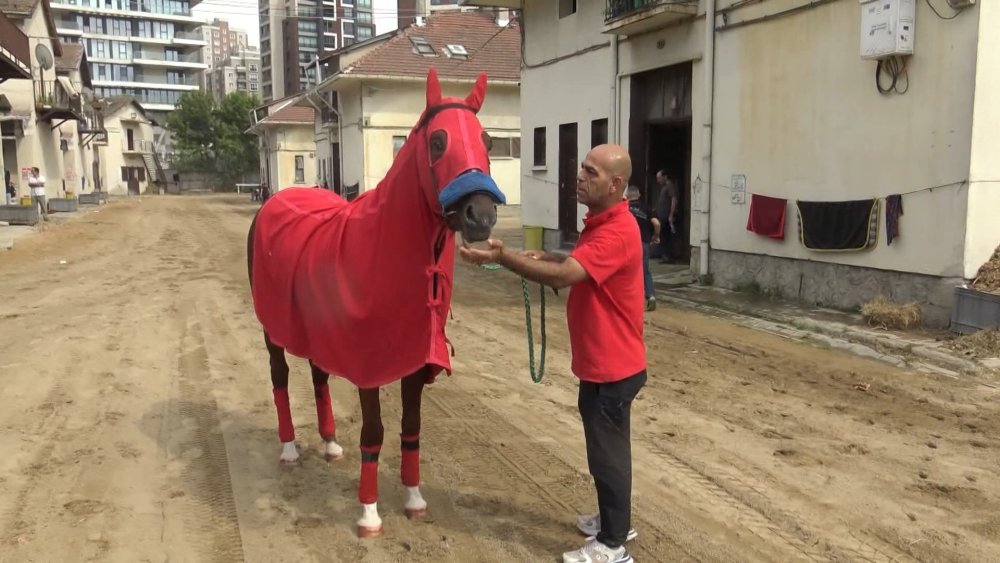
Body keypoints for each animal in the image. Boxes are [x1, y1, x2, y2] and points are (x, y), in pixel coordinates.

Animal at [243, 67, 508, 536]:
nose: (480, 215)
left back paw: (330, 443)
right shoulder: (369, 365)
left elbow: (411, 427)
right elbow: (374, 431)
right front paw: (368, 512)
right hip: (272, 328)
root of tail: (275, 199)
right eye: (438, 141)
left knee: (318, 376)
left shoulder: (415, 361)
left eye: (487, 140)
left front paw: (414, 498)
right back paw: (289, 447)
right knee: (279, 377)